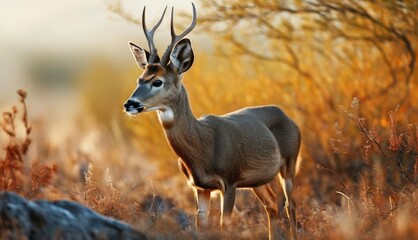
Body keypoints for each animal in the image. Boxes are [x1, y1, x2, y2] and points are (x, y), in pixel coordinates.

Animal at [122, 3, 302, 240]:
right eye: (139, 79)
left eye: (157, 81)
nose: (129, 104)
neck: (203, 147)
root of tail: (289, 118)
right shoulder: (199, 187)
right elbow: (202, 226)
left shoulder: (230, 180)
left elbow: (225, 226)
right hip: (260, 179)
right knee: (272, 205)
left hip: (290, 161)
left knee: (290, 205)